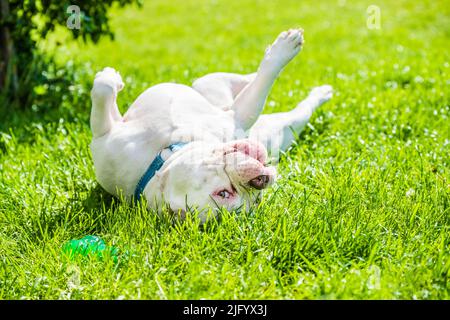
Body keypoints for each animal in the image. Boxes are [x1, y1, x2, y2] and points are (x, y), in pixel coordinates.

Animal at [89, 28, 332, 220]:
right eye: (224, 194)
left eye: (257, 199)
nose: (260, 181)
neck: (163, 152)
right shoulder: (236, 115)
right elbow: (258, 91)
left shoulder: (106, 135)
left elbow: (102, 90)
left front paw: (110, 77)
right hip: (280, 128)